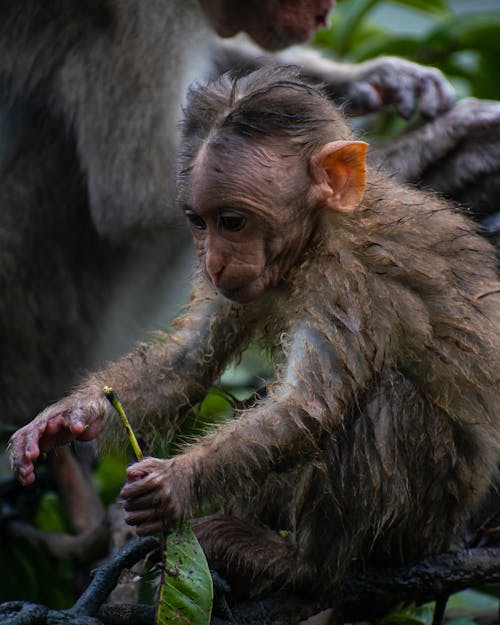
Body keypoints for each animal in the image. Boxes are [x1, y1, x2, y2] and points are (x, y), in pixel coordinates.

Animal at [9, 66, 500, 596]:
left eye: (232, 221)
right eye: (198, 222)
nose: (213, 260)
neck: (313, 241)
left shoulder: (347, 281)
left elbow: (307, 407)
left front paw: (178, 482)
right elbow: (186, 361)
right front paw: (69, 416)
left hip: (433, 512)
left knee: (388, 396)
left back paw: (302, 565)